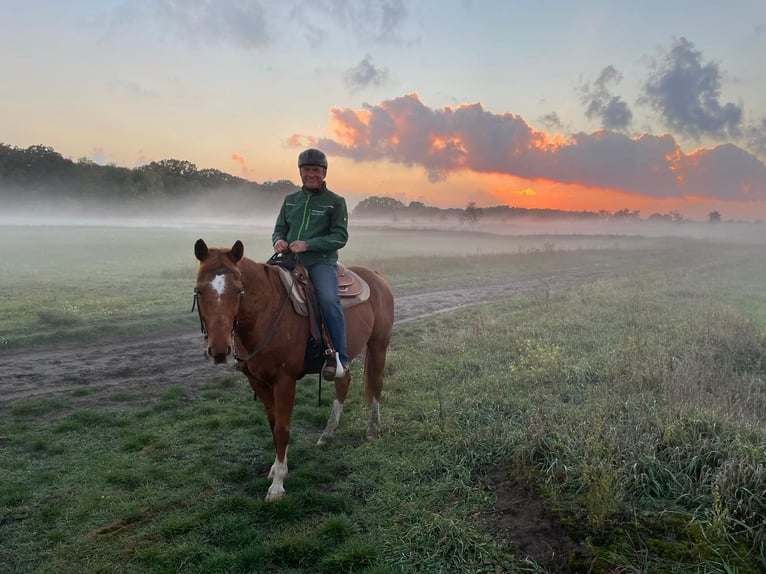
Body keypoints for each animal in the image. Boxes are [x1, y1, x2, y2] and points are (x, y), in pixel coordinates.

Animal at [192, 238, 396, 500]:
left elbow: (282, 428)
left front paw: (277, 485)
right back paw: (327, 434)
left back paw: (371, 429)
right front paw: (276, 469)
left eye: (239, 290)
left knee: (376, 384)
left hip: (379, 345)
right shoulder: (257, 380)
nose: (219, 349)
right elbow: (273, 424)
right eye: (199, 290)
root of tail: (376, 276)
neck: (266, 314)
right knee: (343, 383)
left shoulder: (285, 380)